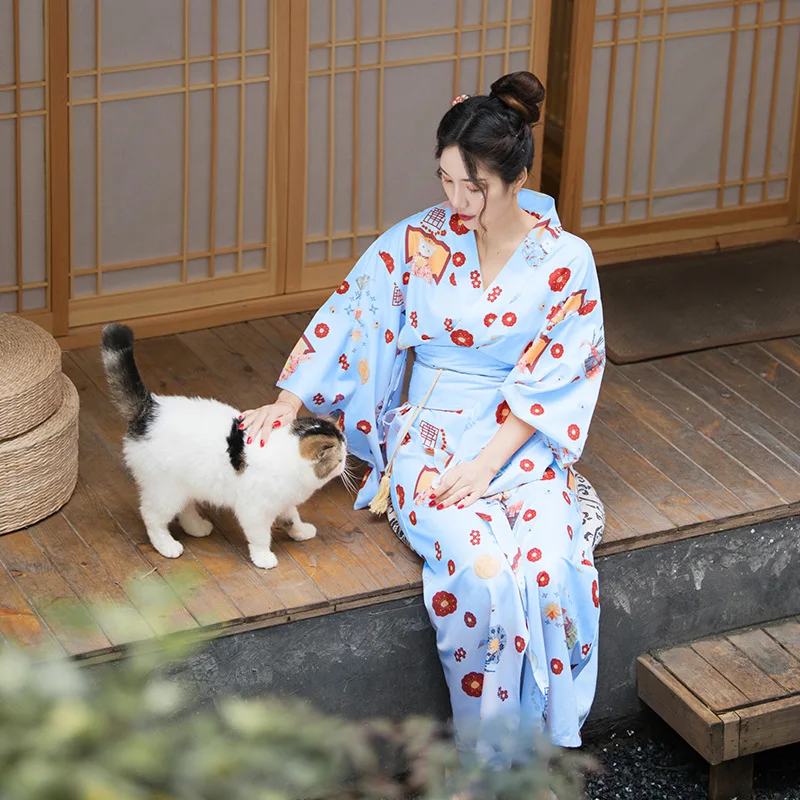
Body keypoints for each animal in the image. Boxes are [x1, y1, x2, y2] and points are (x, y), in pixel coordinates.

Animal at [98, 324, 346, 568]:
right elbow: (260, 537)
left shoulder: (283, 502)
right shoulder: (254, 510)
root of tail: (150, 407)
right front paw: (264, 558)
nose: (345, 465)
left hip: (186, 484)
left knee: (185, 509)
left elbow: (291, 519)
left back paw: (197, 527)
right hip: (166, 490)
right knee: (151, 515)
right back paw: (167, 545)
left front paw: (301, 532)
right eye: (340, 459)